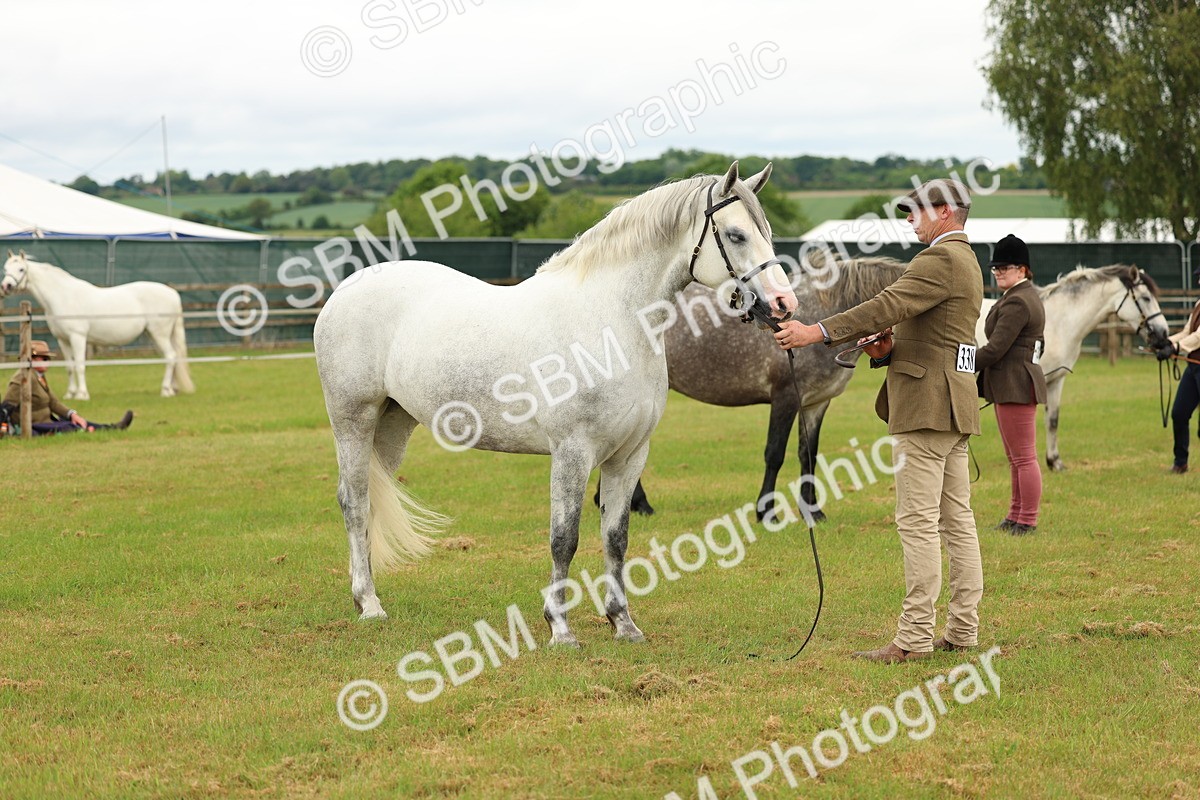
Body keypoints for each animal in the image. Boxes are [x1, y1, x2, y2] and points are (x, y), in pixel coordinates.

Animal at [0, 251, 194, 399]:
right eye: (6, 268)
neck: (62, 296)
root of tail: (172, 293)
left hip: (160, 334)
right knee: (172, 357)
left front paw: (82, 394)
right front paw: (70, 394)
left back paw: (165, 390)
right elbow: (69, 367)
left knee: (170, 356)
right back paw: (172, 389)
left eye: (21, 269)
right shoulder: (63, 340)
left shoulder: (78, 337)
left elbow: (79, 365)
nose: (6, 286)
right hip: (156, 335)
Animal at [314, 162, 798, 645]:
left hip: (393, 424)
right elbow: (564, 539)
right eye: (736, 234)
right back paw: (369, 604)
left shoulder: (629, 456)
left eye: (767, 231)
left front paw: (623, 623)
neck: (611, 322)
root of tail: (344, 291)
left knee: (371, 499)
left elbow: (616, 538)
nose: (784, 303)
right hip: (353, 420)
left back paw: (369, 596)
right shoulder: (572, 452)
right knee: (353, 501)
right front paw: (559, 628)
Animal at [602, 255, 908, 521]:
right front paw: (767, 512)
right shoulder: (786, 398)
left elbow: (808, 454)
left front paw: (813, 512)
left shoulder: (816, 403)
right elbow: (775, 453)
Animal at [976, 264, 1169, 471]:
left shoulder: (1055, 380)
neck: (1058, 323)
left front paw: (1055, 462)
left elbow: (1052, 420)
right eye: (1146, 298)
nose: (1163, 333)